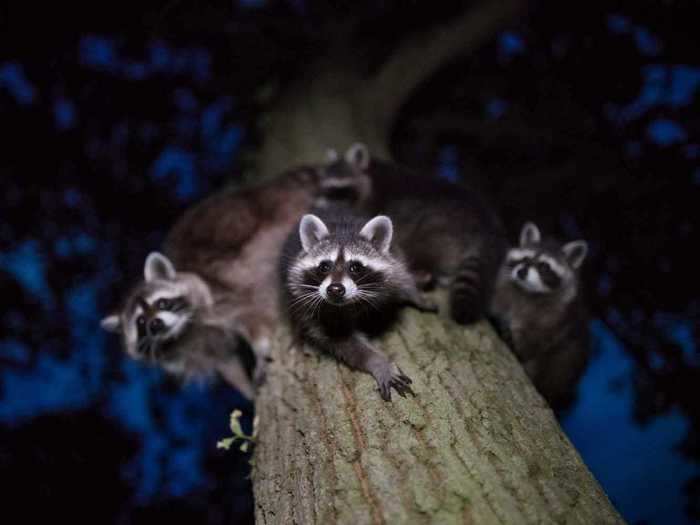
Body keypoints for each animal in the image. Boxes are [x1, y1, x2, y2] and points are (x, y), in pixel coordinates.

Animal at [102, 165, 372, 398]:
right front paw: (248, 393)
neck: (184, 332)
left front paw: (261, 351)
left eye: (161, 304)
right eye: (140, 322)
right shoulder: (200, 350)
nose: (155, 324)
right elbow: (228, 367)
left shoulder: (222, 298)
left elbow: (252, 318)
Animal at [280, 209, 434, 402]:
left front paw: (416, 293)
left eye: (355, 267)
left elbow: (403, 276)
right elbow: (346, 342)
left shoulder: (393, 261)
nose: (335, 289)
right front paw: (379, 362)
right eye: (324, 267)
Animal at [322, 143, 508, 324]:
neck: (371, 172)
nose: (326, 207)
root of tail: (487, 231)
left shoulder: (370, 203)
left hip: (437, 228)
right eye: (327, 190)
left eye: (340, 190)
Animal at [486, 221, 592, 410]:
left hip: (566, 362)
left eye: (544, 266)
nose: (521, 272)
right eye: (524, 259)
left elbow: (534, 343)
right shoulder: (504, 291)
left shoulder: (556, 319)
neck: (528, 292)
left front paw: (517, 347)